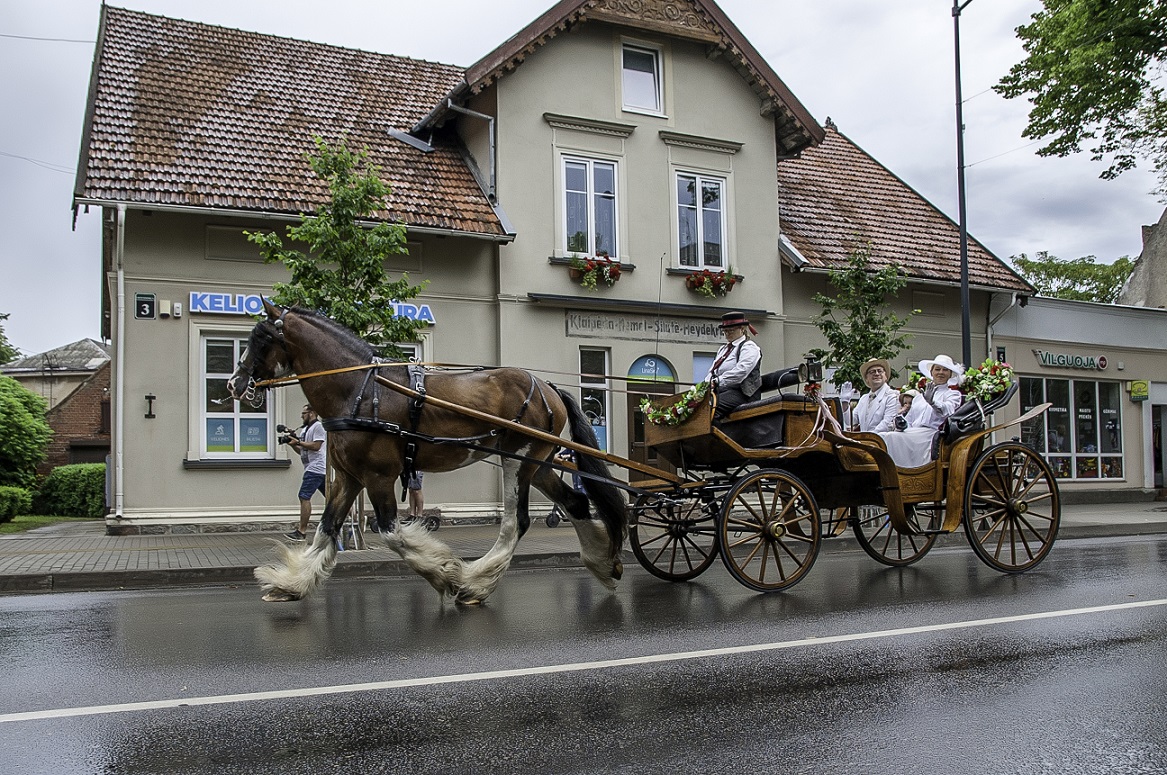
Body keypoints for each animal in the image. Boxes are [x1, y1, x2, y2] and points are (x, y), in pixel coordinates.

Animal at [227, 303, 630, 606]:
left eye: (263, 339)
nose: (234, 384)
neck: (359, 389)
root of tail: (547, 386)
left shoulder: (378, 477)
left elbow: (392, 533)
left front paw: (444, 575)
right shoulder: (348, 477)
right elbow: (326, 529)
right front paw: (291, 584)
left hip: (517, 460)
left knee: (515, 522)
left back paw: (475, 582)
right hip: (539, 463)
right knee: (576, 502)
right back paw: (603, 564)